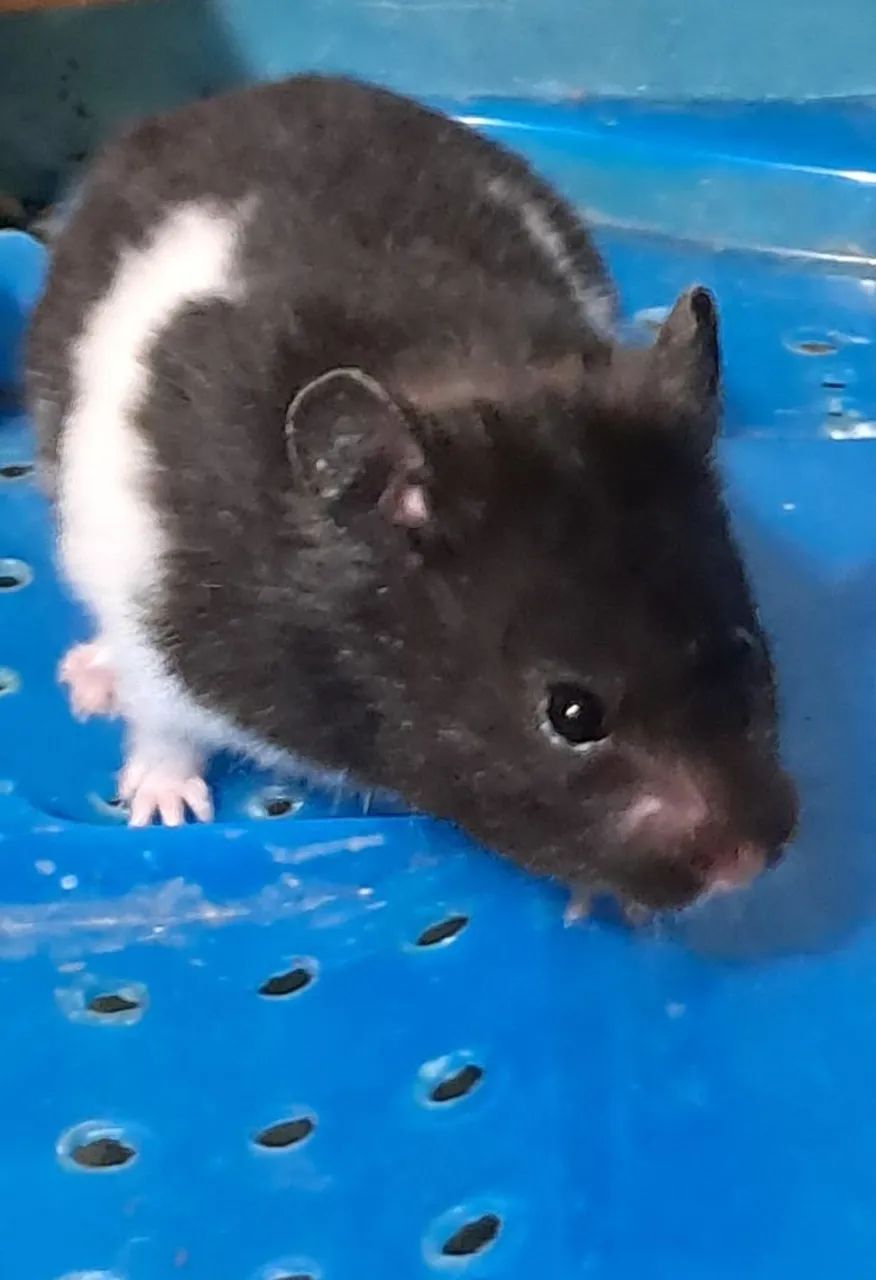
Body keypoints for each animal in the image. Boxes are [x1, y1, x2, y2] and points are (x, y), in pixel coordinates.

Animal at [25, 75, 797, 911]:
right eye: (572, 714)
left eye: (744, 645)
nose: (748, 865)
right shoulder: (153, 619)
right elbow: (164, 729)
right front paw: (164, 813)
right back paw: (86, 681)